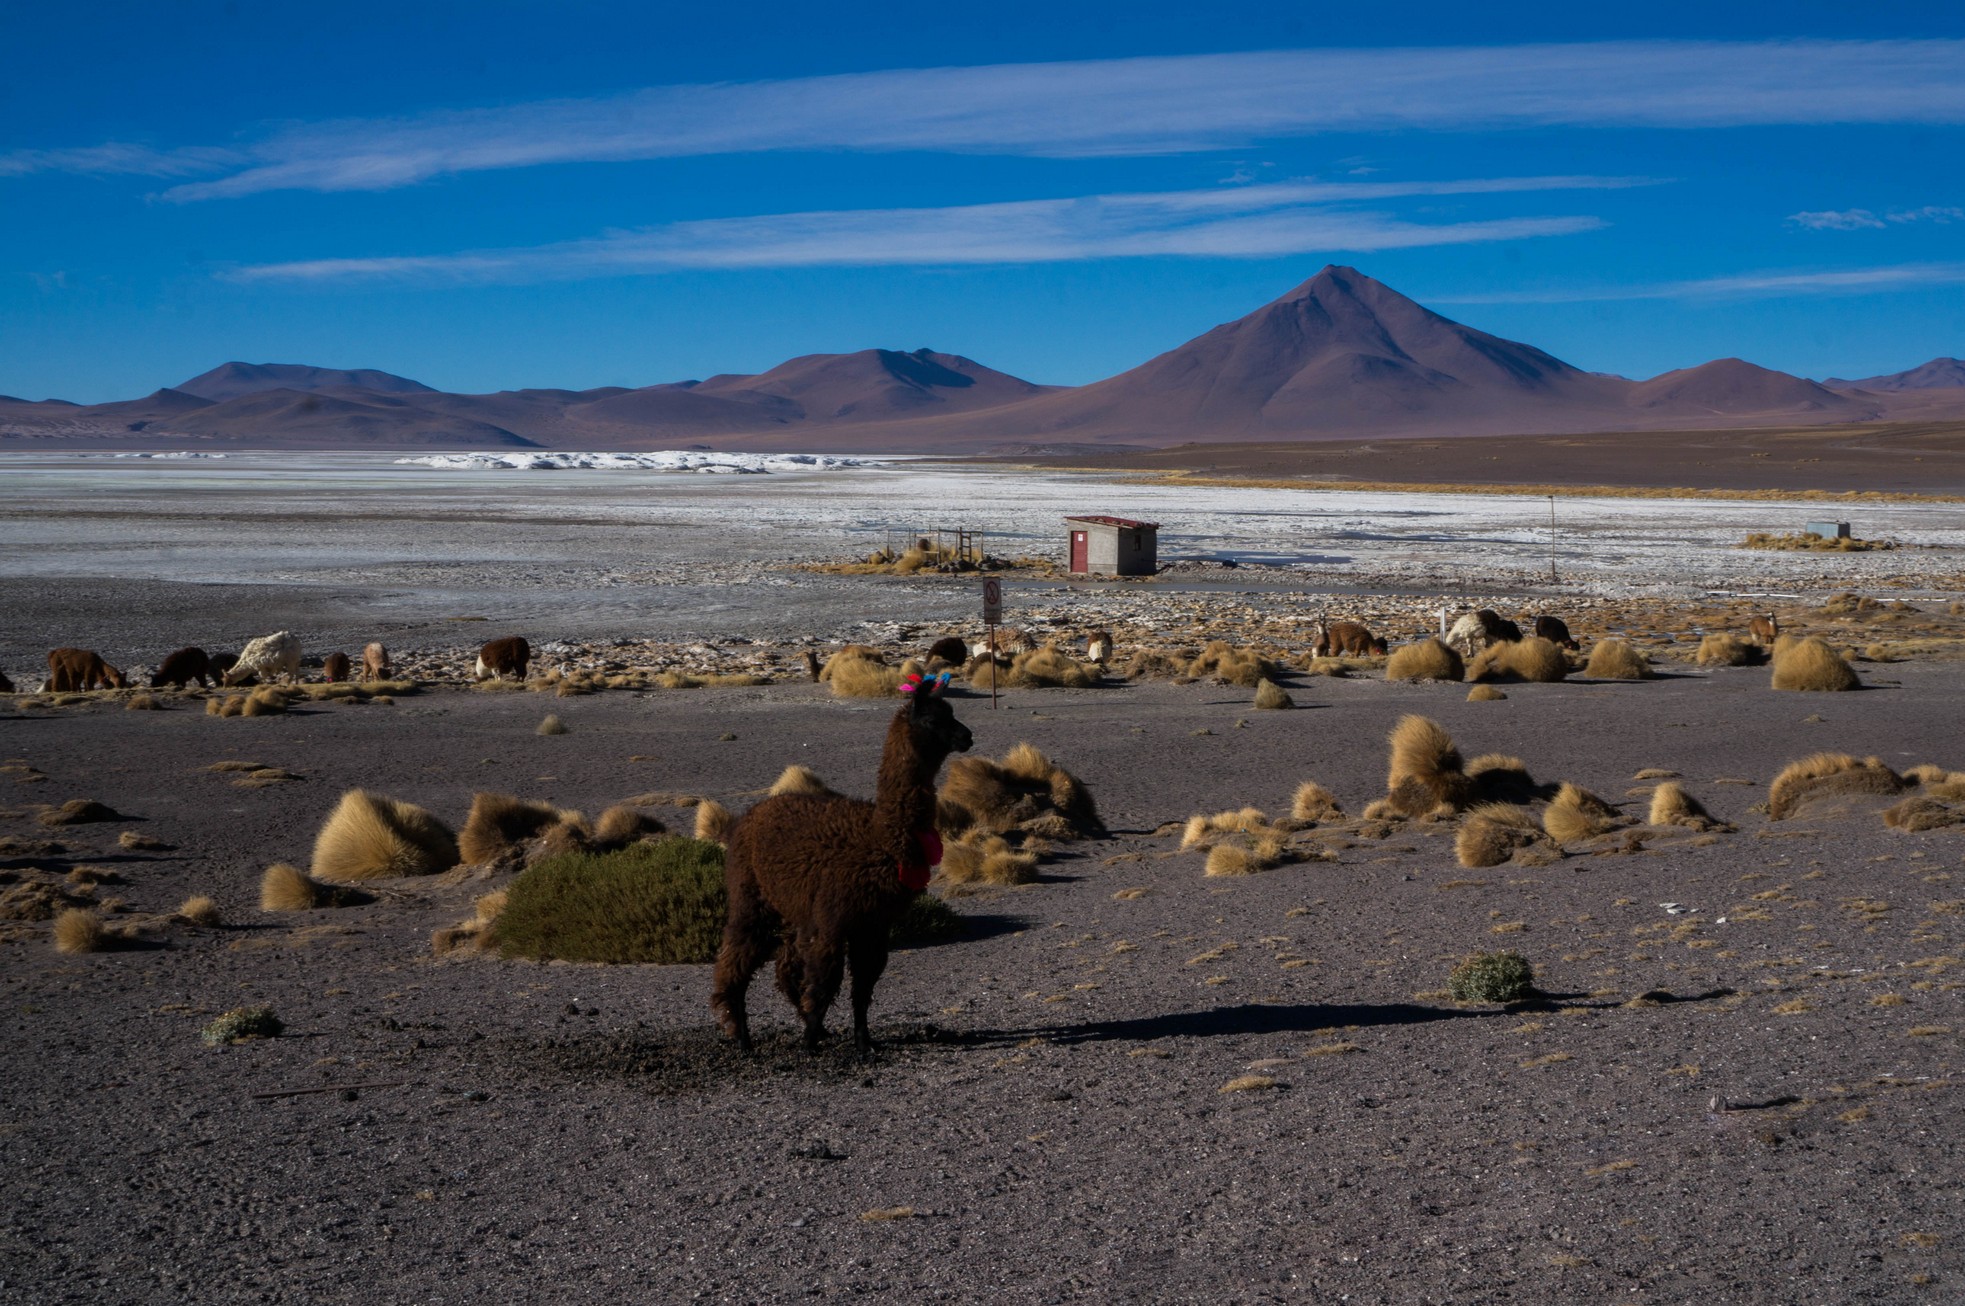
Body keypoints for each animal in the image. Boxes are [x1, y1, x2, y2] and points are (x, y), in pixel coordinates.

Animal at [713, 670, 973, 1054]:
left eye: (952, 712)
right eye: (932, 719)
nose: (967, 736)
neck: (882, 838)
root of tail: (750, 814)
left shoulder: (874, 925)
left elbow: (862, 988)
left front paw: (863, 1042)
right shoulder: (834, 918)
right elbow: (825, 982)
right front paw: (809, 1044)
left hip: (793, 908)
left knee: (785, 967)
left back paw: (810, 1028)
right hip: (751, 894)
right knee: (737, 960)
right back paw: (744, 1037)